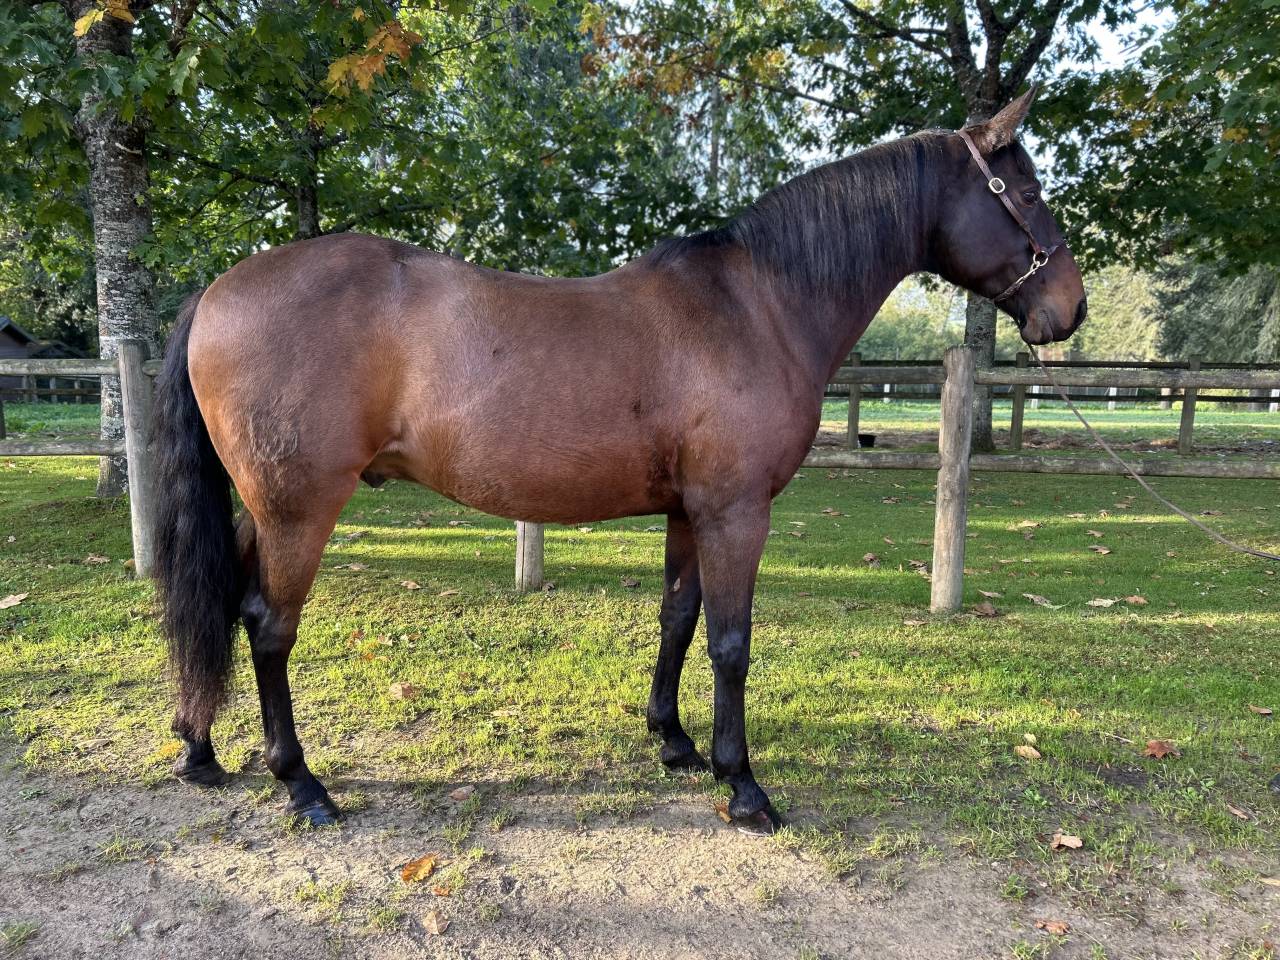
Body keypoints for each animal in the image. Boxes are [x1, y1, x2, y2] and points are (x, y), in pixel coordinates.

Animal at [151, 88, 1085, 834]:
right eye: (1026, 192)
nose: (1069, 310)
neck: (759, 304)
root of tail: (217, 290)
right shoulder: (736, 511)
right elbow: (732, 642)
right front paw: (744, 786)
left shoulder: (688, 510)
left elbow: (678, 618)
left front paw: (672, 740)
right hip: (300, 508)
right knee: (268, 624)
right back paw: (301, 783)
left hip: (265, 509)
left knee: (223, 600)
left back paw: (200, 748)